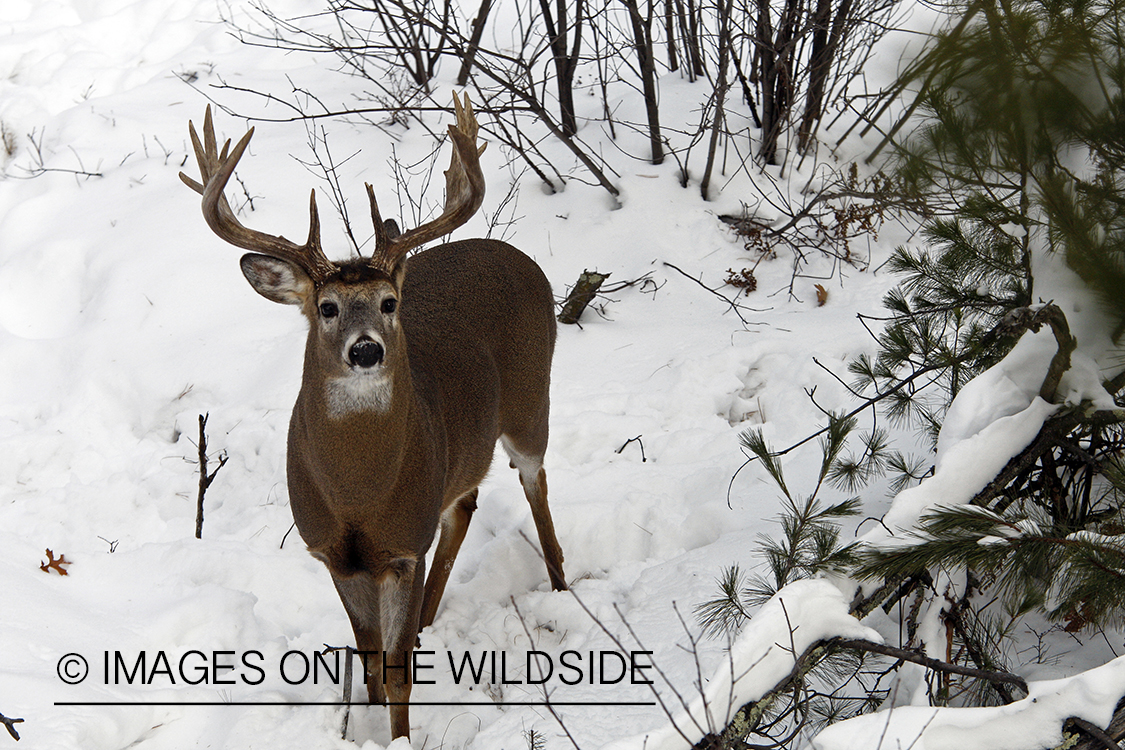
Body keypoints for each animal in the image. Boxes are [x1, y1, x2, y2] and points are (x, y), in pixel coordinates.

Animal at [181, 98, 567, 737]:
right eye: (327, 307)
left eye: (389, 303)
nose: (367, 350)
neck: (358, 495)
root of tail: (522, 258)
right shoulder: (335, 554)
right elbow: (367, 660)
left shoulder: (403, 546)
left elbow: (397, 670)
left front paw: (402, 737)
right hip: (465, 449)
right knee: (465, 502)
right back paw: (434, 617)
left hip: (532, 397)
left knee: (536, 481)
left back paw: (561, 587)